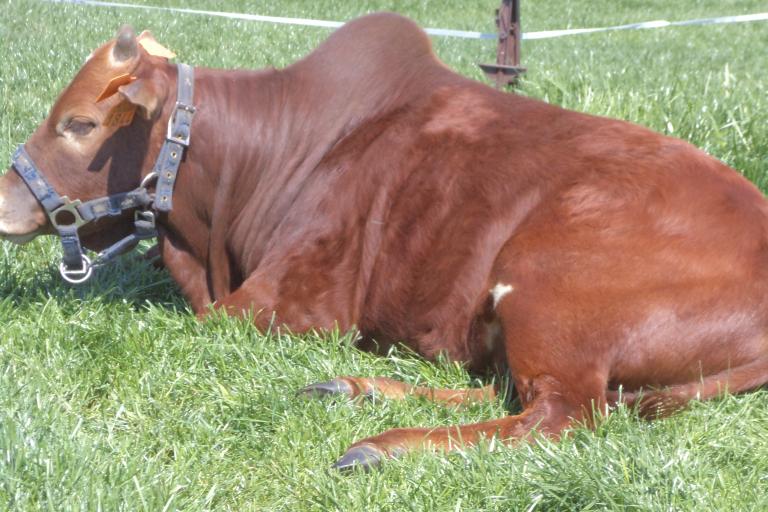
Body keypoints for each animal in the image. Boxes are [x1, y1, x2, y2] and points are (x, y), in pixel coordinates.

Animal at [1, 15, 768, 472]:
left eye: (78, 124)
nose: (6, 199)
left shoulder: (294, 305)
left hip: (546, 286)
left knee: (561, 415)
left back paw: (381, 445)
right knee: (506, 391)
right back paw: (356, 389)